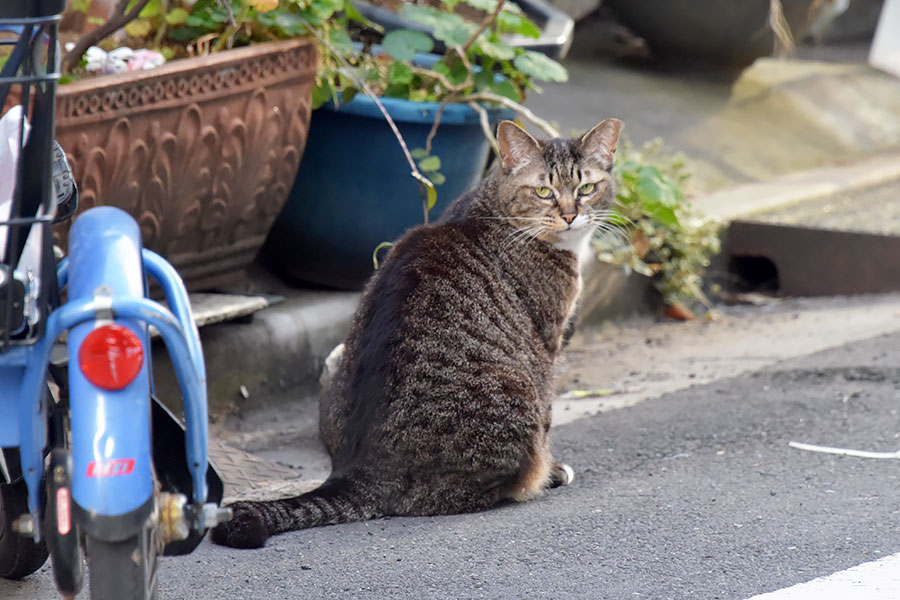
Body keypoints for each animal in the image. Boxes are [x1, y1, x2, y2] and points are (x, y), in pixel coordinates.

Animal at [213, 117, 620, 548]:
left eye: (587, 189)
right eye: (544, 191)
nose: (571, 214)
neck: (493, 208)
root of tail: (362, 472)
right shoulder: (547, 344)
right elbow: (549, 414)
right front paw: (554, 469)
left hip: (336, 358)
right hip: (517, 389)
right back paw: (533, 480)